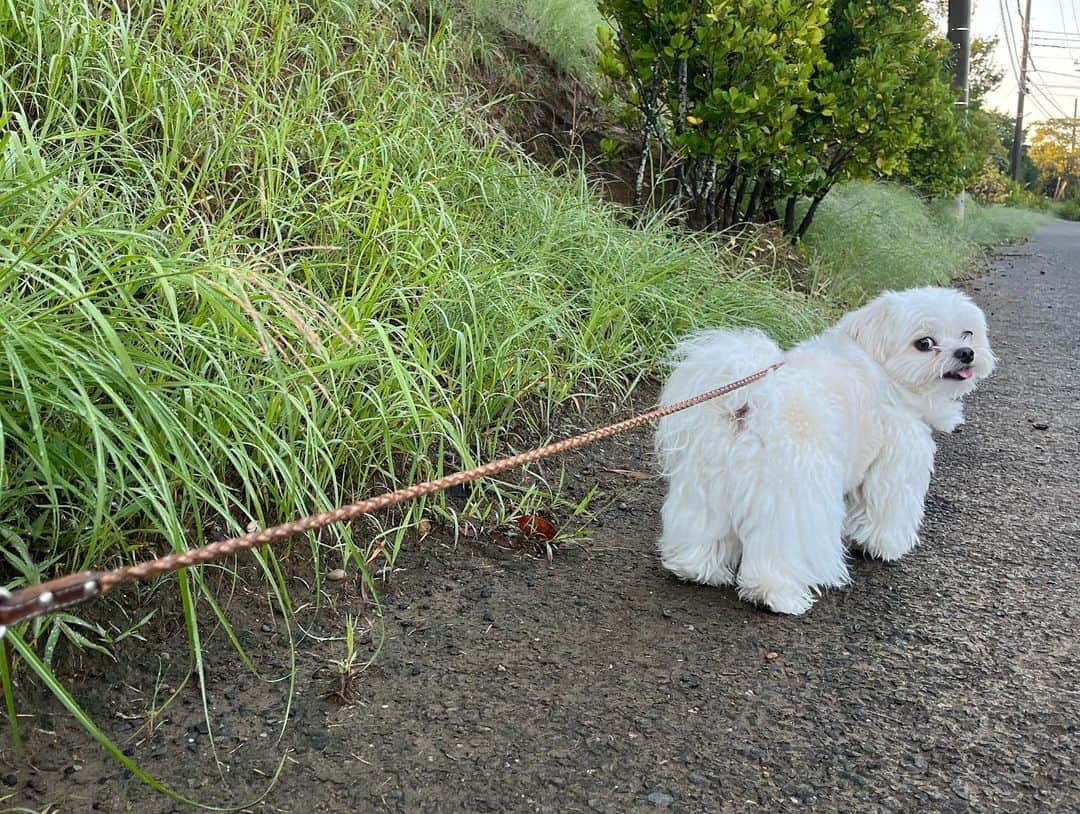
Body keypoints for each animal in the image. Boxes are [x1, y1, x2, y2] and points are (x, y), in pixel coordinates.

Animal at [652, 285, 989, 608]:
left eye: (967, 333)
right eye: (924, 343)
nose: (966, 353)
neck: (880, 366)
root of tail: (751, 403)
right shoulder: (896, 463)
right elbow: (886, 510)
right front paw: (885, 546)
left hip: (706, 484)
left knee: (701, 529)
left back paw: (697, 568)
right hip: (792, 498)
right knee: (781, 551)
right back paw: (775, 594)